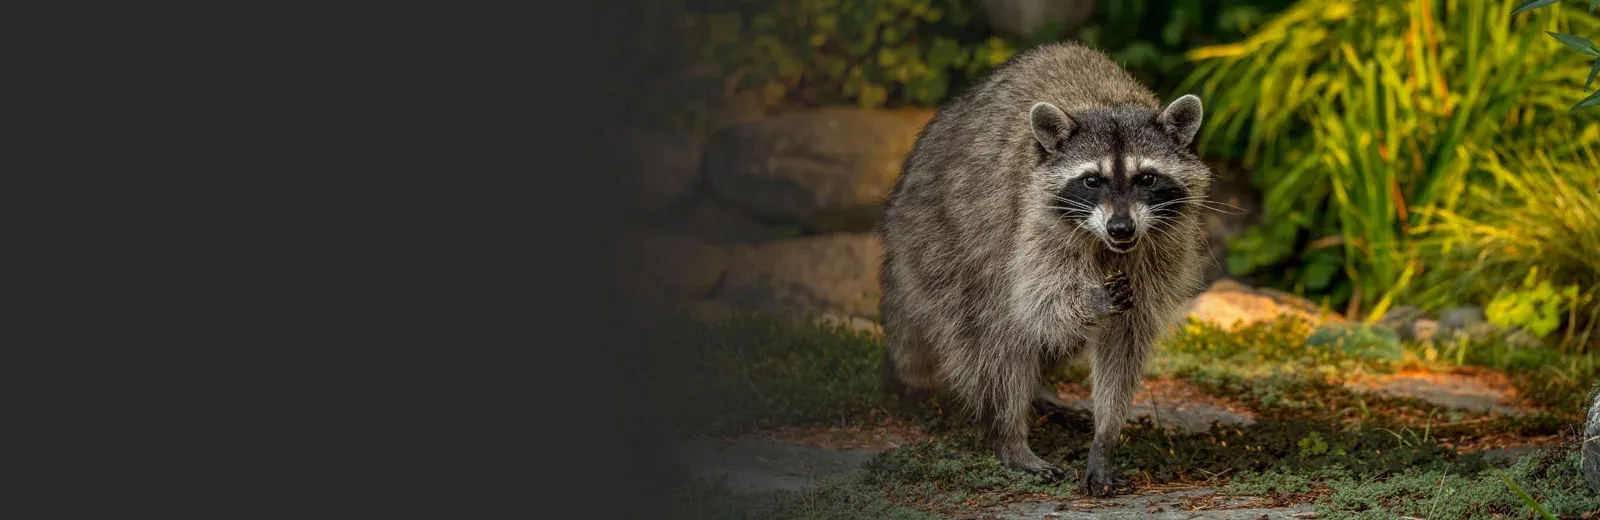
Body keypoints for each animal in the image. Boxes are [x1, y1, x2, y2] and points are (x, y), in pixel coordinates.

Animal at [883, 42, 1203, 496]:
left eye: (1146, 178)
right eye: (1091, 180)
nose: (1121, 228)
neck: (1106, 103)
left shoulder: (1161, 248)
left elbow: (1125, 339)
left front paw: (1105, 436)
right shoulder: (1033, 220)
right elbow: (1037, 302)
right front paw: (1091, 300)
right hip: (946, 244)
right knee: (996, 332)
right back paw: (1009, 435)